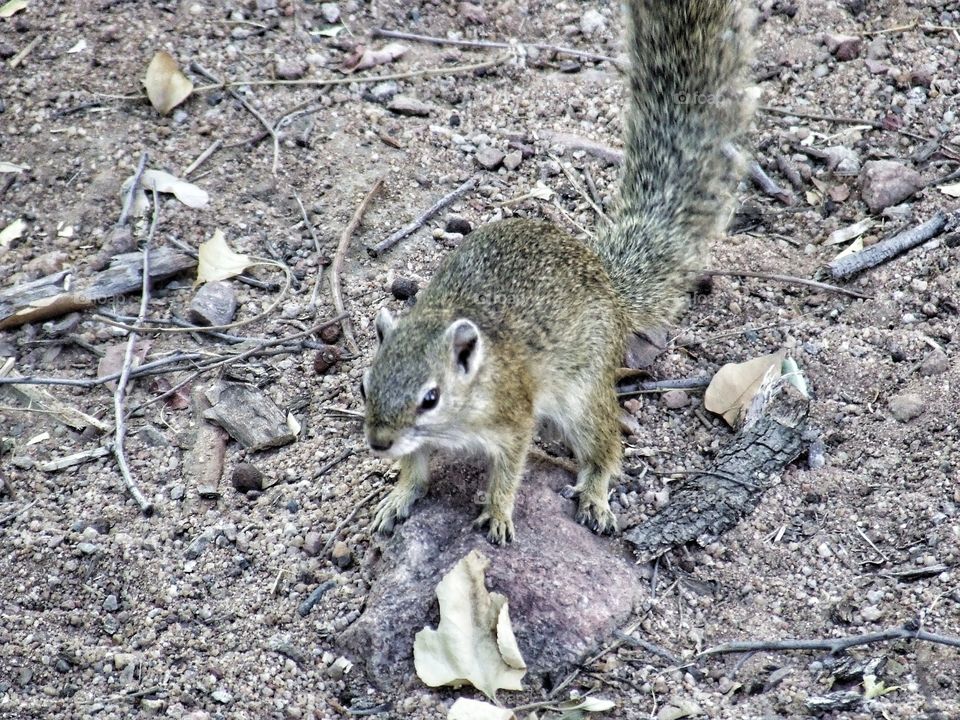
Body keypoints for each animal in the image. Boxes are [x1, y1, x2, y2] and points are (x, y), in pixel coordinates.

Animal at [360, 0, 755, 545]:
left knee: (606, 446)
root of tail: (607, 279)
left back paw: (594, 494)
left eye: (430, 398)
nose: (378, 442)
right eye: (365, 384)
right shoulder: (418, 442)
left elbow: (509, 471)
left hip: (584, 394)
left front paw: (498, 513)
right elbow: (415, 468)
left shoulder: (513, 421)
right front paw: (398, 497)